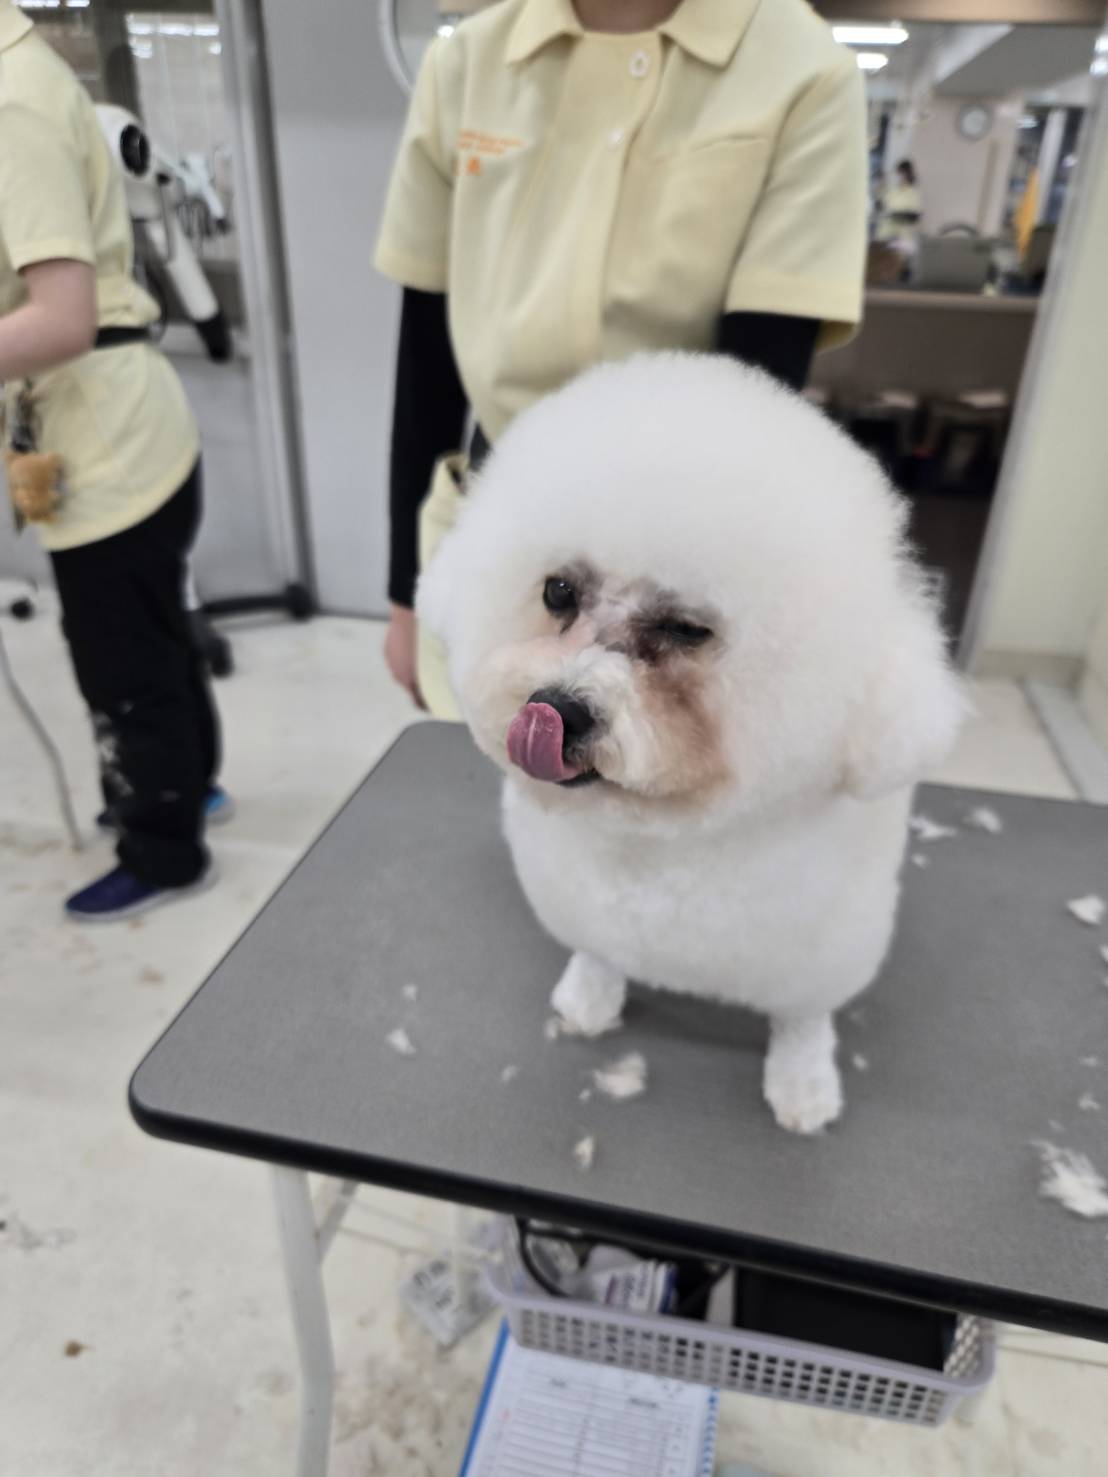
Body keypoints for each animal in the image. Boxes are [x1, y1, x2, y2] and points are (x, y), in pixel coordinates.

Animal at [419, 354, 965, 1133]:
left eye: (685, 629)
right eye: (558, 591)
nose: (556, 709)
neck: (664, 841)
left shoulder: (818, 952)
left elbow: (803, 1020)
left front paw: (803, 1084)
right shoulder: (587, 905)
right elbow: (599, 952)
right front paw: (589, 998)